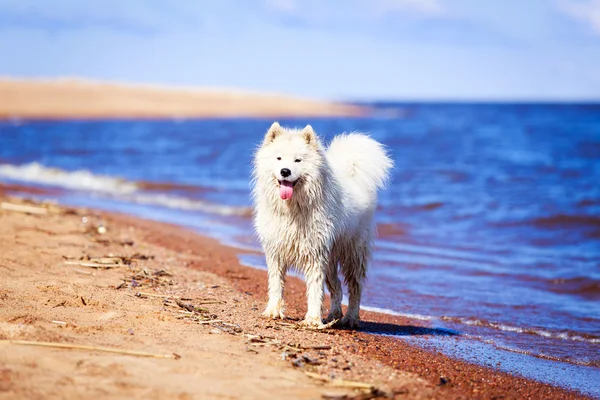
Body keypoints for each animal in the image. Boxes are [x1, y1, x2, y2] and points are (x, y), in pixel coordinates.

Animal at [250, 122, 394, 328]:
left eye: (298, 160)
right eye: (278, 158)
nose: (285, 171)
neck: (293, 209)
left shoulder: (314, 254)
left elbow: (314, 289)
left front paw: (312, 319)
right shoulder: (276, 251)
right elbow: (276, 284)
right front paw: (273, 311)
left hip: (353, 254)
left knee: (355, 288)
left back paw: (351, 318)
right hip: (331, 259)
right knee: (337, 287)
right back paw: (334, 315)